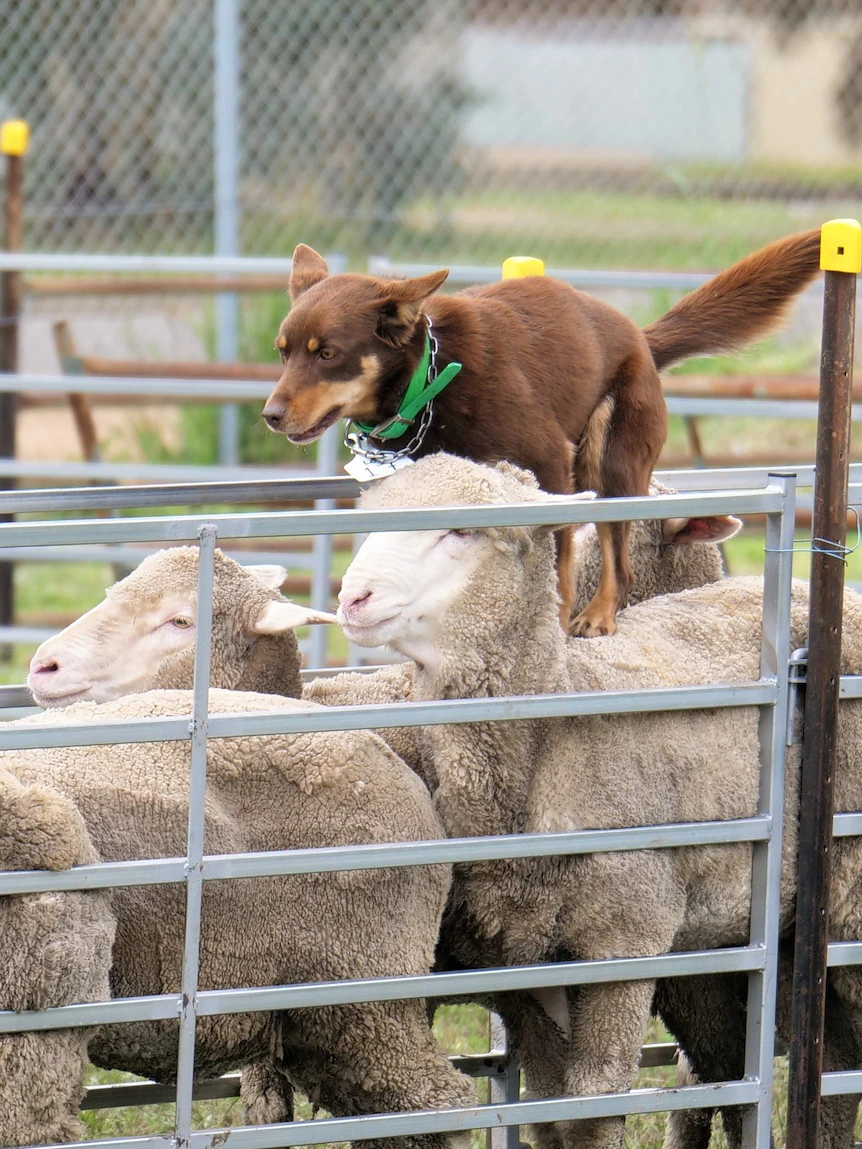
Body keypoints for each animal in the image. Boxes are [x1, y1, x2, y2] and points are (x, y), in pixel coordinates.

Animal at [262, 227, 822, 634]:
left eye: (327, 353)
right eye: (283, 351)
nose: (270, 414)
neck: (432, 382)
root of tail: (641, 338)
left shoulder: (552, 464)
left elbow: (559, 563)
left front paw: (551, 624)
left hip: (609, 461)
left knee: (620, 561)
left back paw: (597, 616)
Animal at [340, 452, 862, 1149]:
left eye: (465, 531)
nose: (352, 598)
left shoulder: (628, 934)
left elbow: (594, 1105)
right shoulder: (521, 964)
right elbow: (550, 1109)